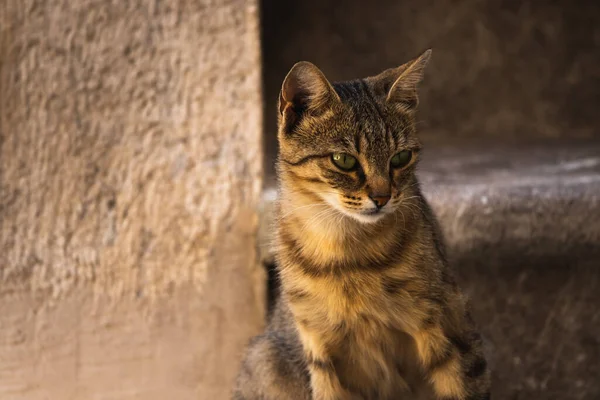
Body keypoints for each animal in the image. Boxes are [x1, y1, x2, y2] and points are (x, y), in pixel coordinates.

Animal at [232, 50, 490, 400]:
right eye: (344, 160)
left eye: (401, 157)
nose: (382, 197)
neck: (347, 251)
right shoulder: (321, 349)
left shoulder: (450, 328)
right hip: (266, 357)